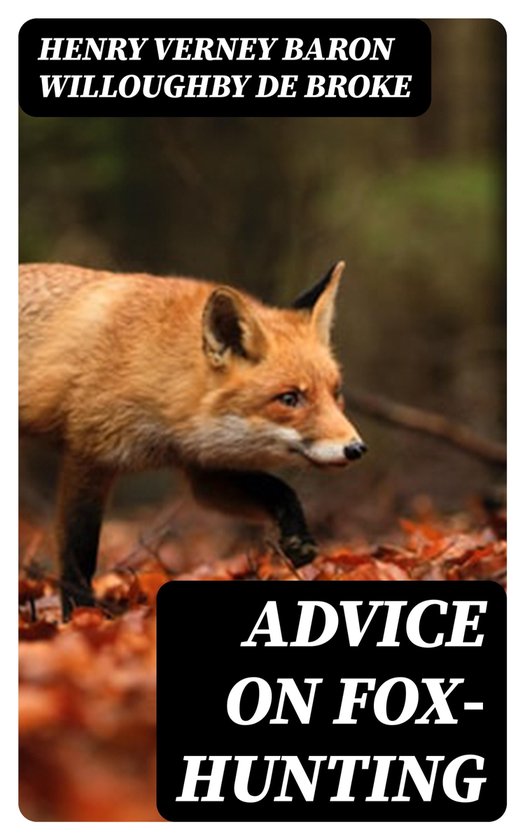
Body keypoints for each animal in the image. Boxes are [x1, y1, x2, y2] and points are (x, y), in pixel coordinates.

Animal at [19, 261, 366, 618]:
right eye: (289, 398)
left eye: (336, 393)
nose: (356, 448)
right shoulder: (87, 455)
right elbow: (78, 553)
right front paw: (79, 615)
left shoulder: (203, 468)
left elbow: (279, 490)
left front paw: (298, 538)